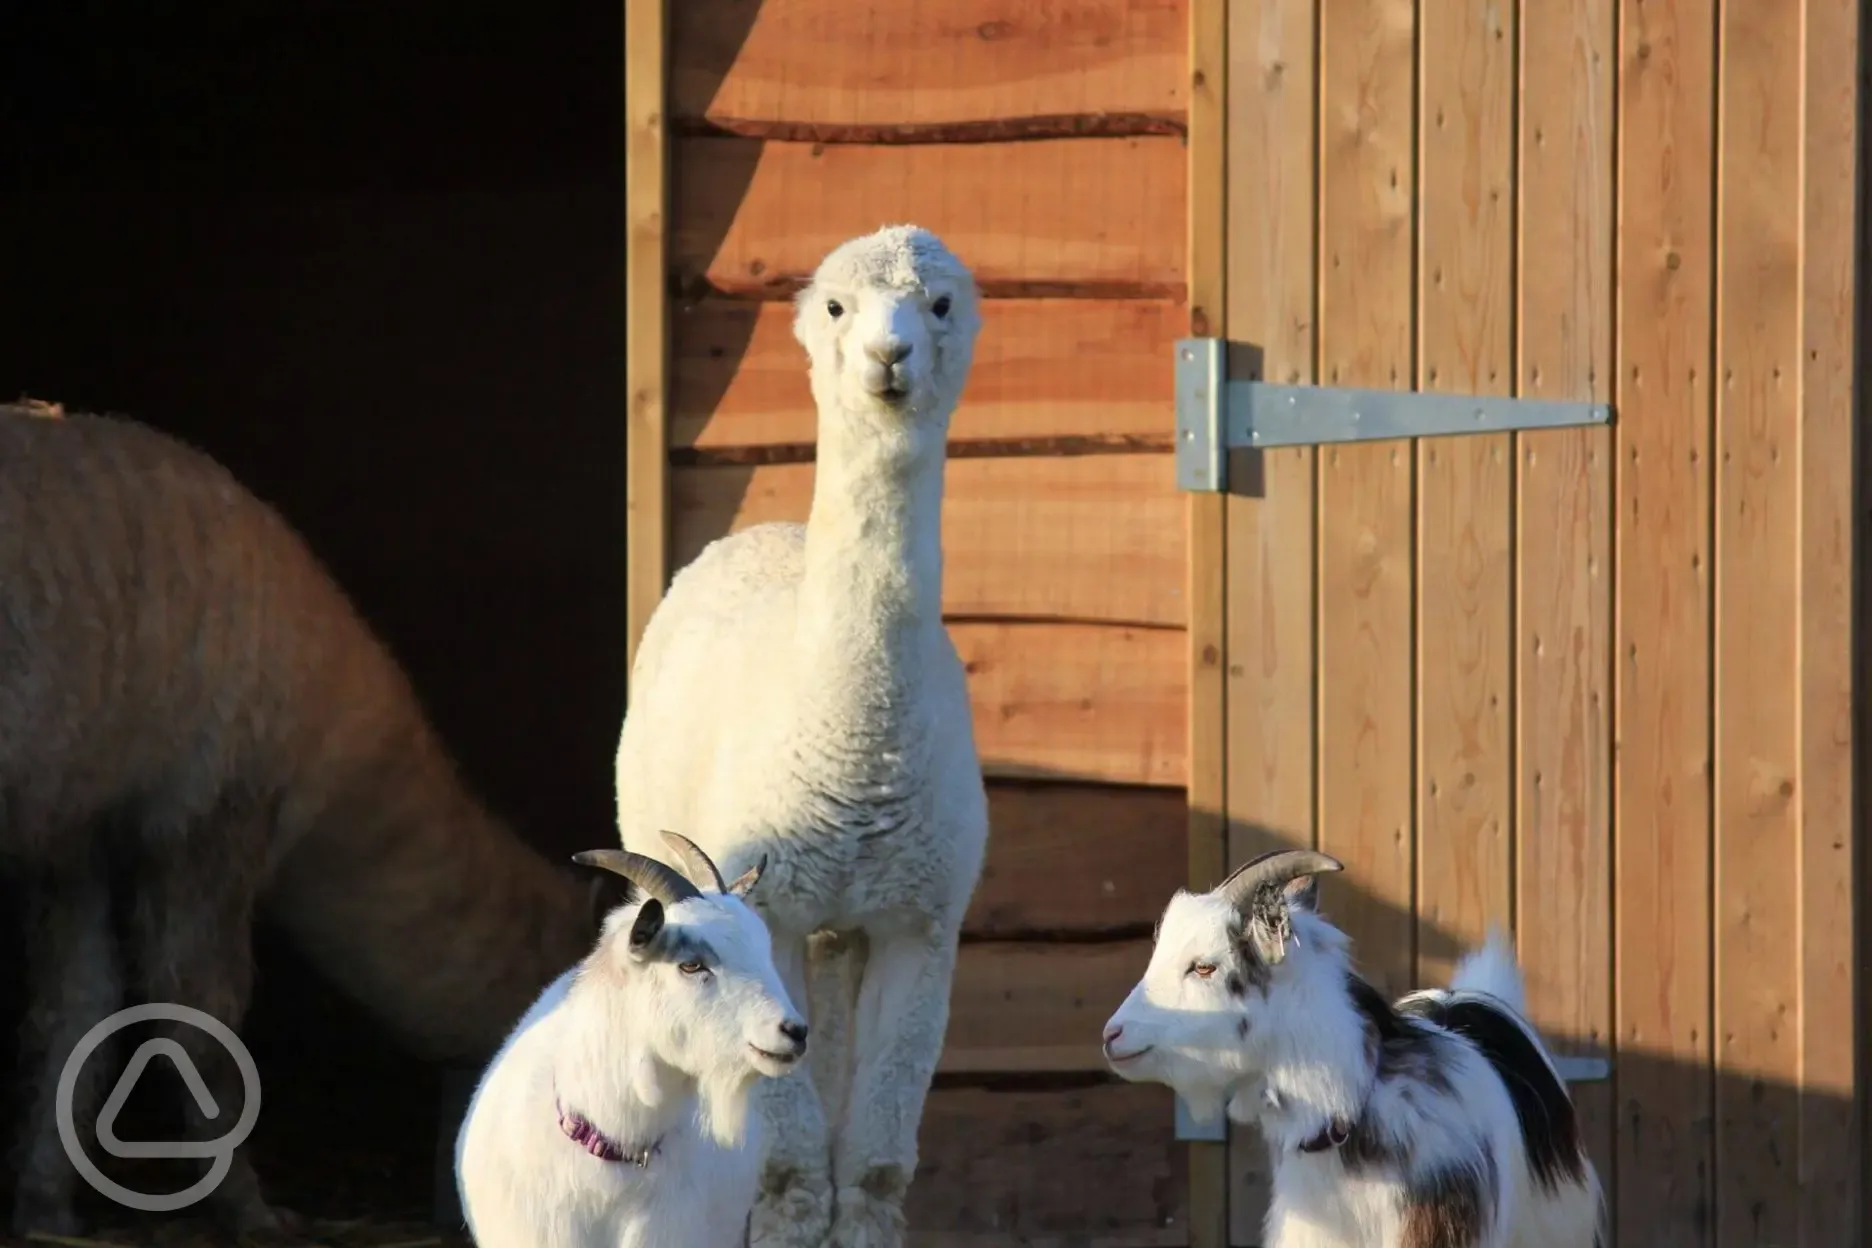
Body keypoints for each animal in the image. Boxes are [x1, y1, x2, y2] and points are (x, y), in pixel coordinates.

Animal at [614, 224, 995, 1248]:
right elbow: (788, 1172)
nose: (889, 356)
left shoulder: (920, 916)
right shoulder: (769, 910)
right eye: (833, 305)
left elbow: (870, 1167)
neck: (858, 747)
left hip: (846, 926)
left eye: (940, 303)